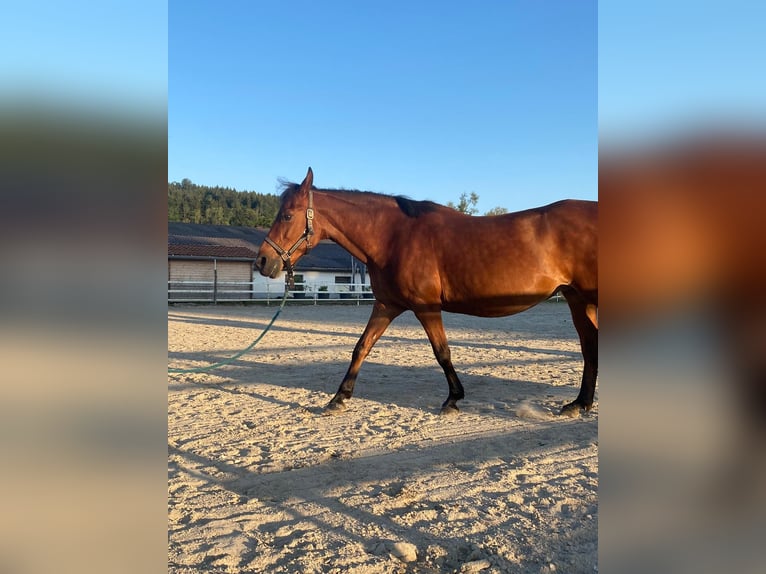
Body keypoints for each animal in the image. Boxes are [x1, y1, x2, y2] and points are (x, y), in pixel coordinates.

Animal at [258, 169, 600, 416]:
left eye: (287, 215)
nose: (263, 261)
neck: (394, 237)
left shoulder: (426, 307)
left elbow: (442, 352)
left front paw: (453, 399)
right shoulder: (386, 305)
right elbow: (361, 347)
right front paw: (338, 398)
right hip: (577, 299)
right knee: (590, 346)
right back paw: (579, 403)